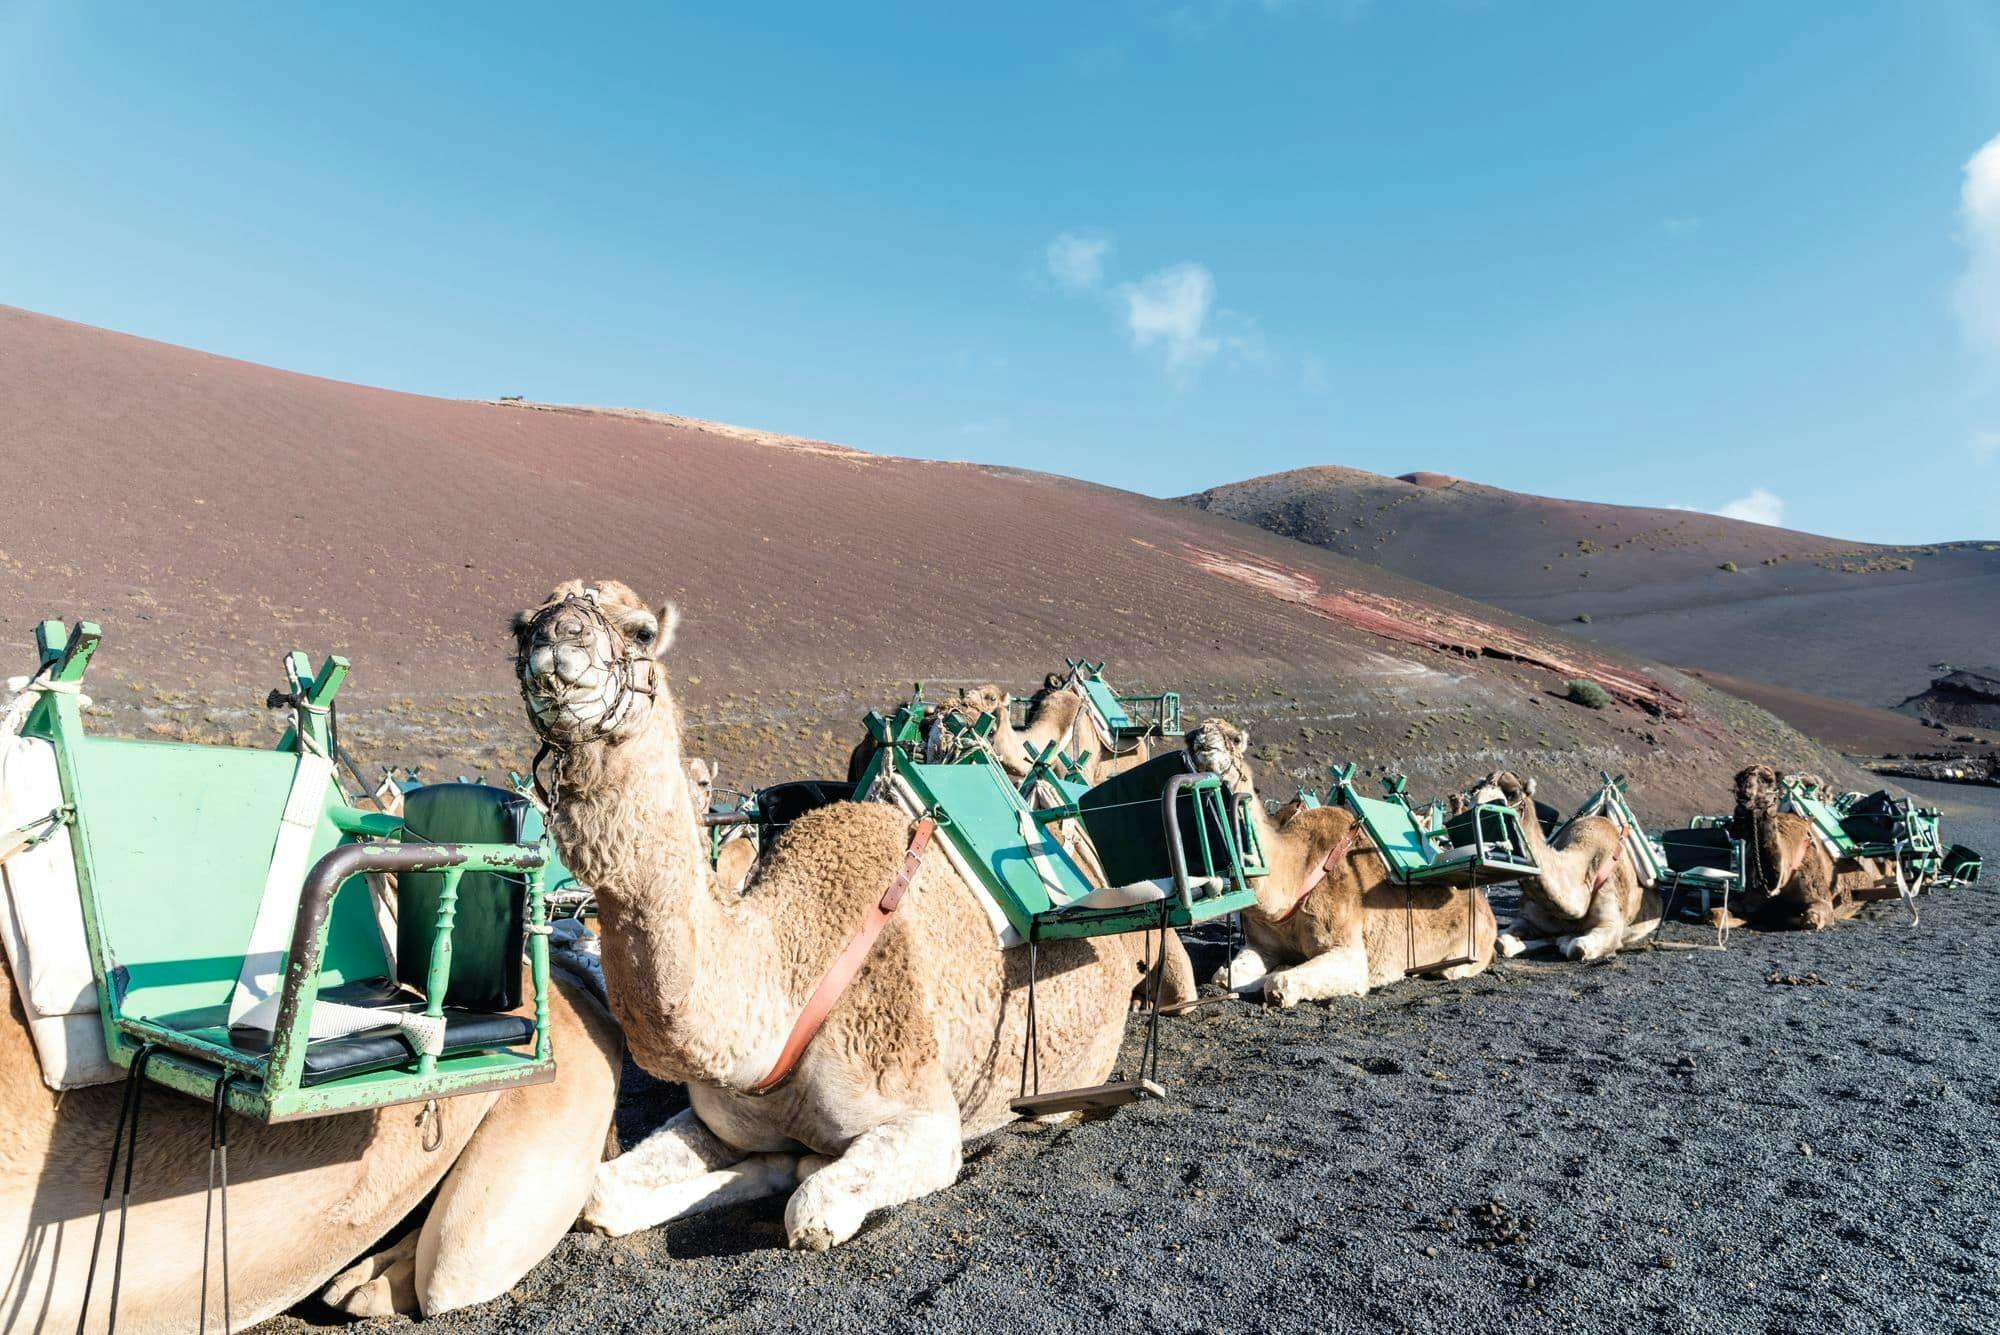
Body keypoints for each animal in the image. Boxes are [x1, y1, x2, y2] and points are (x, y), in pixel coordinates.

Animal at [516, 579, 1184, 1255]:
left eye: (642, 632)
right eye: (520, 625)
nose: (555, 634)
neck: (787, 977)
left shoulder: (926, 1121)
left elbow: (810, 1208)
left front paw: (792, 1170)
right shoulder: (719, 1116)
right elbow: (601, 1194)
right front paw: (769, 1164)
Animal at [1176, 719, 1496, 999]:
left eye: (1234, 738)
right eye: (1189, 737)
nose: (1203, 736)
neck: (1293, 875)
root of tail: (1487, 910)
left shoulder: (1348, 951)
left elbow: (1279, 982)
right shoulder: (1261, 944)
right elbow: (1221, 977)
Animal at [1472, 771, 1672, 959]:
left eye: (1512, 793)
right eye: (1474, 791)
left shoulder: (1611, 925)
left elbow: (1576, 948)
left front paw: (1563, 939)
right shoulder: (1527, 916)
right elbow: (1501, 941)